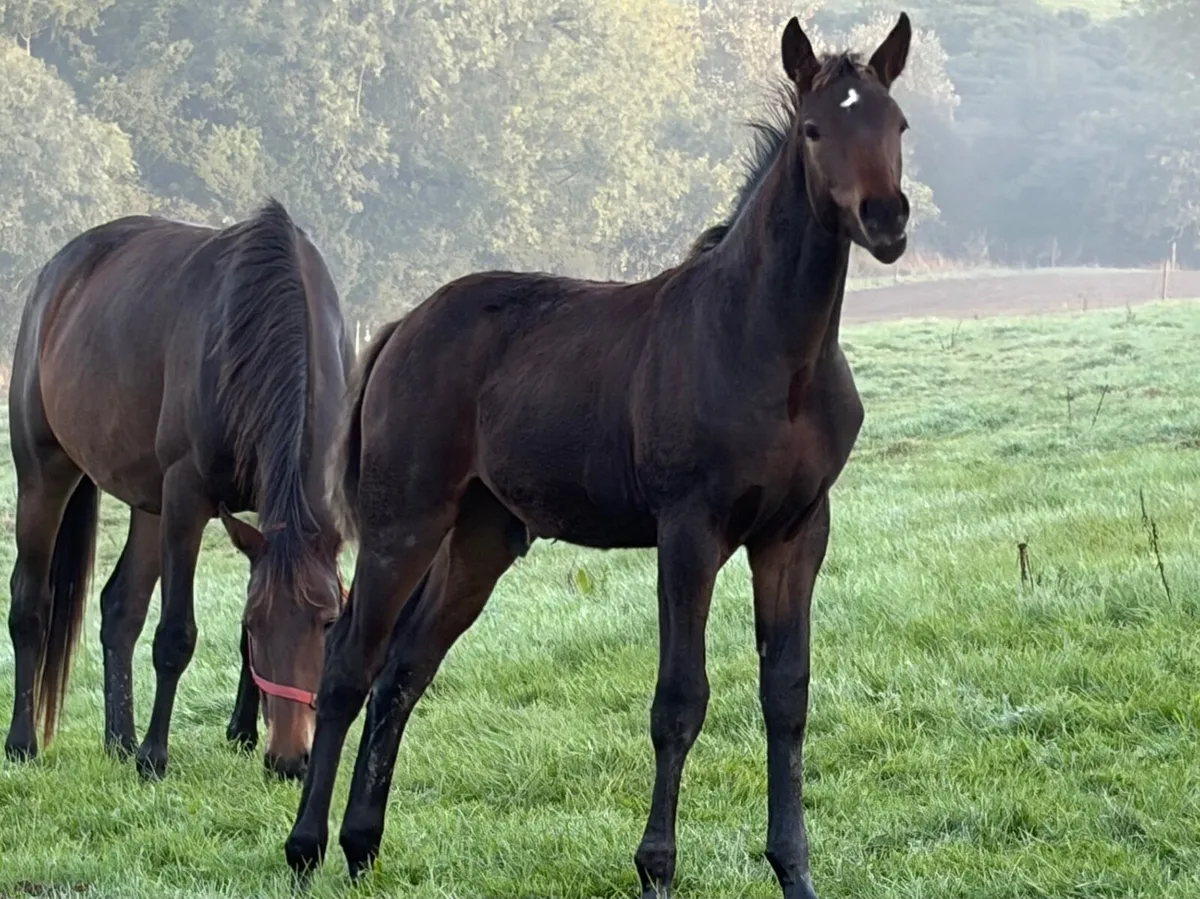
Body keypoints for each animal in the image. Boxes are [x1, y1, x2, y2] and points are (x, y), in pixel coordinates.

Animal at [5, 198, 352, 781]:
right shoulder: (187, 499)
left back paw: (118, 740)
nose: (289, 761)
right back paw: (24, 743)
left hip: (148, 501)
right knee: (30, 606)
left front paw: (240, 731)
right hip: (44, 476)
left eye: (329, 622)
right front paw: (154, 756)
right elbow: (175, 635)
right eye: (258, 623)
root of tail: (55, 275)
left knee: (120, 608)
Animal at [286, 13, 913, 898]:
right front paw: (656, 867)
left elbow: (787, 694)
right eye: (816, 129)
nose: (887, 219)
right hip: (402, 519)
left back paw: (361, 844)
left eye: (898, 125)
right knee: (348, 664)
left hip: (481, 535)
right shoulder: (689, 530)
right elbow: (679, 699)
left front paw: (794, 870)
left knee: (405, 669)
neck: (768, 347)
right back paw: (306, 848)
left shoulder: (795, 532)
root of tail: (404, 324)